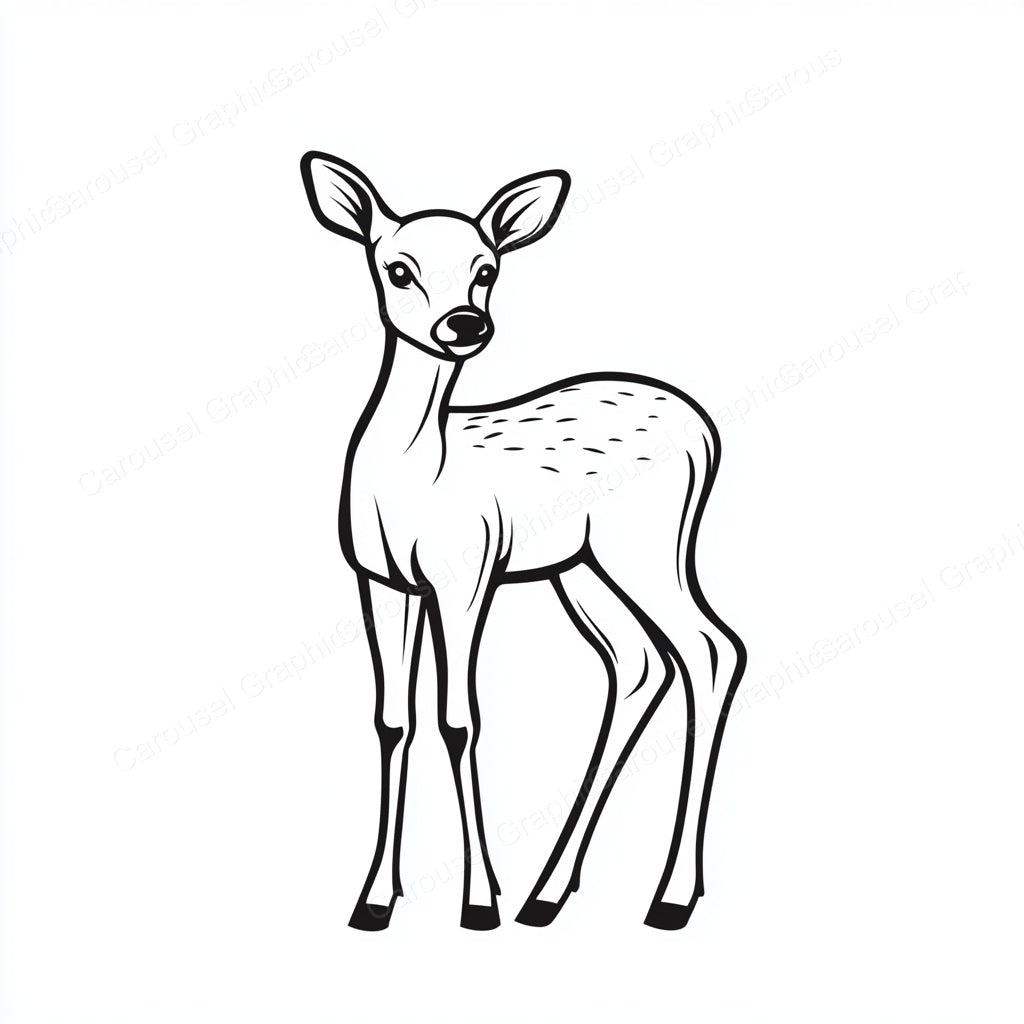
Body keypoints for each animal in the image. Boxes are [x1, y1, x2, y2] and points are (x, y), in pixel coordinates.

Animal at [299, 152, 746, 931]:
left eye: (487, 267)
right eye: (397, 268)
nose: (464, 324)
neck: (415, 476)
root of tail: (705, 431)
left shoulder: (466, 570)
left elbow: (458, 719)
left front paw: (479, 901)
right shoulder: (381, 579)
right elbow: (392, 720)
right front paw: (375, 899)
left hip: (649, 544)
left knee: (711, 649)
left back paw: (669, 896)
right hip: (583, 567)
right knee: (637, 664)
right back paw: (547, 893)